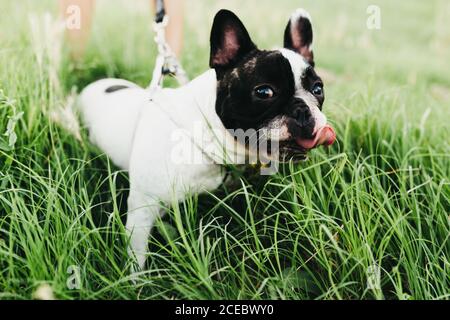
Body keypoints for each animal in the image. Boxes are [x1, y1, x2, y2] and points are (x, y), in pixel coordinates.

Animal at [80, 8, 334, 268]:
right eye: (264, 92)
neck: (205, 137)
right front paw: (136, 277)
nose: (302, 110)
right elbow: (137, 253)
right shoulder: (142, 206)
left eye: (318, 89)